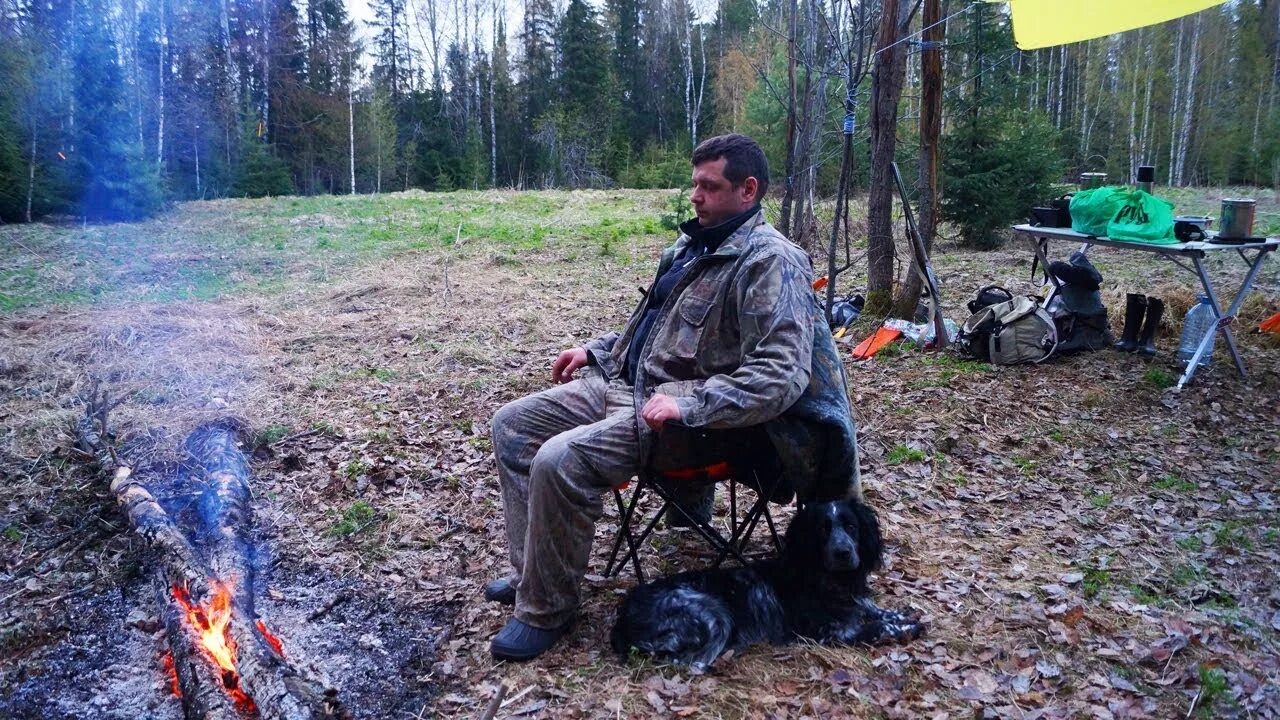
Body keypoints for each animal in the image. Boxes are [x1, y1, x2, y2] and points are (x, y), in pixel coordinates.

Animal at [609, 491, 921, 666]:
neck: (833, 582)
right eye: (822, 530)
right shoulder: (828, 631)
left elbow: (881, 612)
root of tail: (622, 617)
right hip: (712, 614)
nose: (843, 552)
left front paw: (902, 618)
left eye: (851, 526)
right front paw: (903, 628)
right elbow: (875, 627)